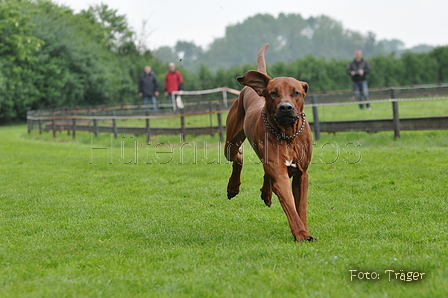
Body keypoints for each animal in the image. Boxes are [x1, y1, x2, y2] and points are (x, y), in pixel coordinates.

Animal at [224, 43, 316, 242]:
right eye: (273, 93)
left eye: (296, 92)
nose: (285, 107)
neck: (288, 135)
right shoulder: (280, 171)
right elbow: (290, 205)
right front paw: (301, 233)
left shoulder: (302, 174)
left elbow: (301, 207)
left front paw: (304, 230)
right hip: (230, 143)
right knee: (237, 156)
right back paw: (233, 186)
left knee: (265, 170)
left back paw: (266, 192)